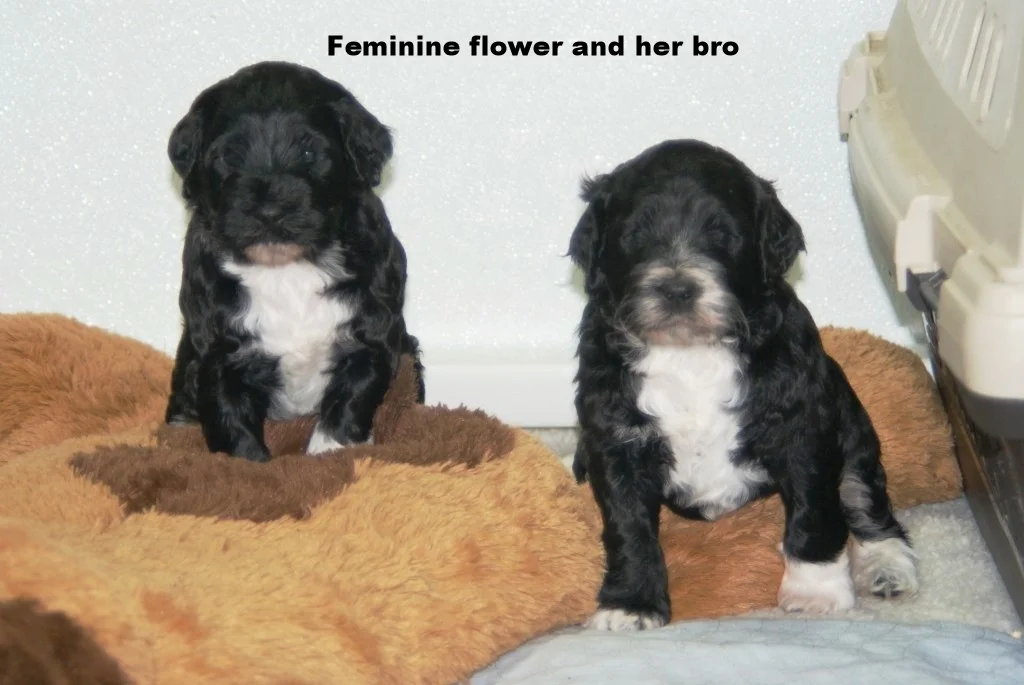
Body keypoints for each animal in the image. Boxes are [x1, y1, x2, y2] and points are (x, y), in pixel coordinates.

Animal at [164, 61, 423, 463]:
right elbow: (229, 418)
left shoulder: (373, 332)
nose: (270, 211)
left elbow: (350, 398)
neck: (286, 268)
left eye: (308, 153)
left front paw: (329, 453)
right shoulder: (217, 350)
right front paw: (249, 465)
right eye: (228, 156)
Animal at [568, 139, 918, 631]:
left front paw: (815, 591)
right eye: (634, 235)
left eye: (724, 234)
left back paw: (888, 568)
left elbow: (815, 511)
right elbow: (628, 526)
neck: (690, 350)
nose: (677, 289)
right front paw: (630, 605)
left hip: (852, 425)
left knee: (864, 497)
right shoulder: (616, 439)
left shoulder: (802, 427)